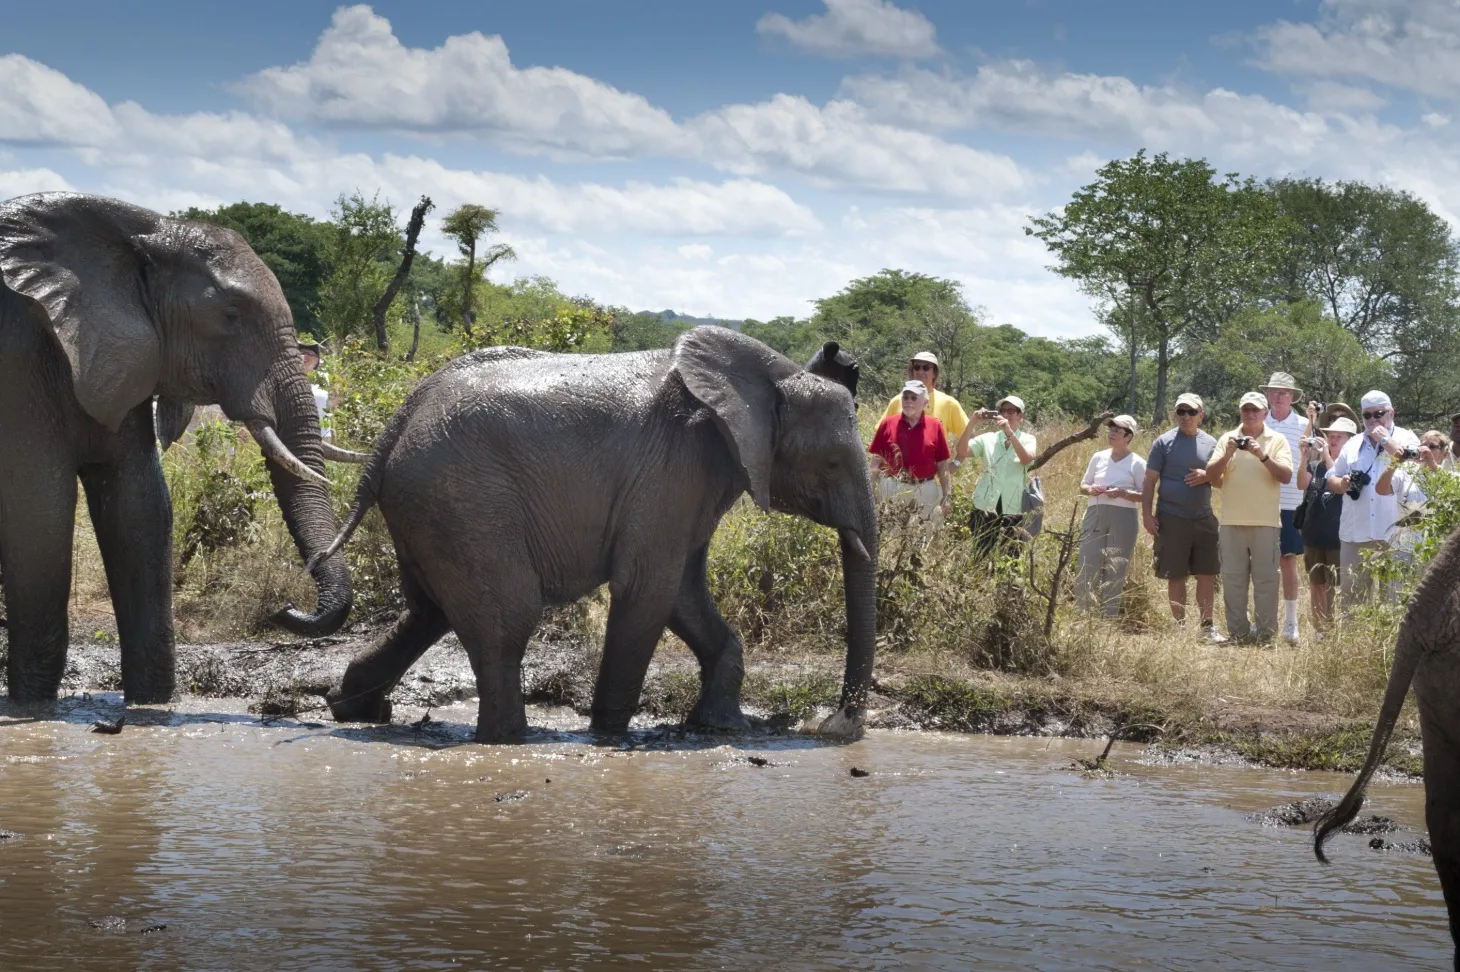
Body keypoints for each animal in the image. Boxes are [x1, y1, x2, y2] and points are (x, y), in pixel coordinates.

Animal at [0, 192, 354, 704]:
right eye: (230, 316)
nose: (284, 609)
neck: (144, 232)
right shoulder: (19, 358)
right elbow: (38, 513)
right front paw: (30, 703)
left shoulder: (125, 355)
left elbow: (141, 506)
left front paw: (152, 706)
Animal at [315, 328, 878, 742]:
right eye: (832, 463)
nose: (835, 725)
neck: (773, 376)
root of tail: (399, 421)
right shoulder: (673, 466)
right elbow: (649, 588)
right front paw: (610, 736)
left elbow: (685, 593)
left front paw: (720, 726)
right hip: (463, 501)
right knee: (507, 617)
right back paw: (510, 740)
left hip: (431, 508)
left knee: (427, 611)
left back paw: (355, 708)